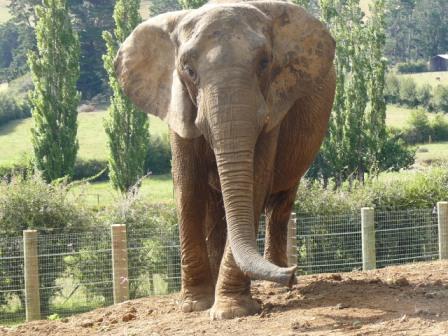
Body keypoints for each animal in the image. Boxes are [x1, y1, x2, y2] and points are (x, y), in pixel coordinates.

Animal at [115, 0, 336, 320]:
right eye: (188, 70)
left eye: (265, 63)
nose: (293, 274)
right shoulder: (177, 103)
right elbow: (187, 188)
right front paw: (194, 305)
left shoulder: (274, 105)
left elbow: (255, 182)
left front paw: (231, 310)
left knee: (280, 203)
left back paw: (272, 284)